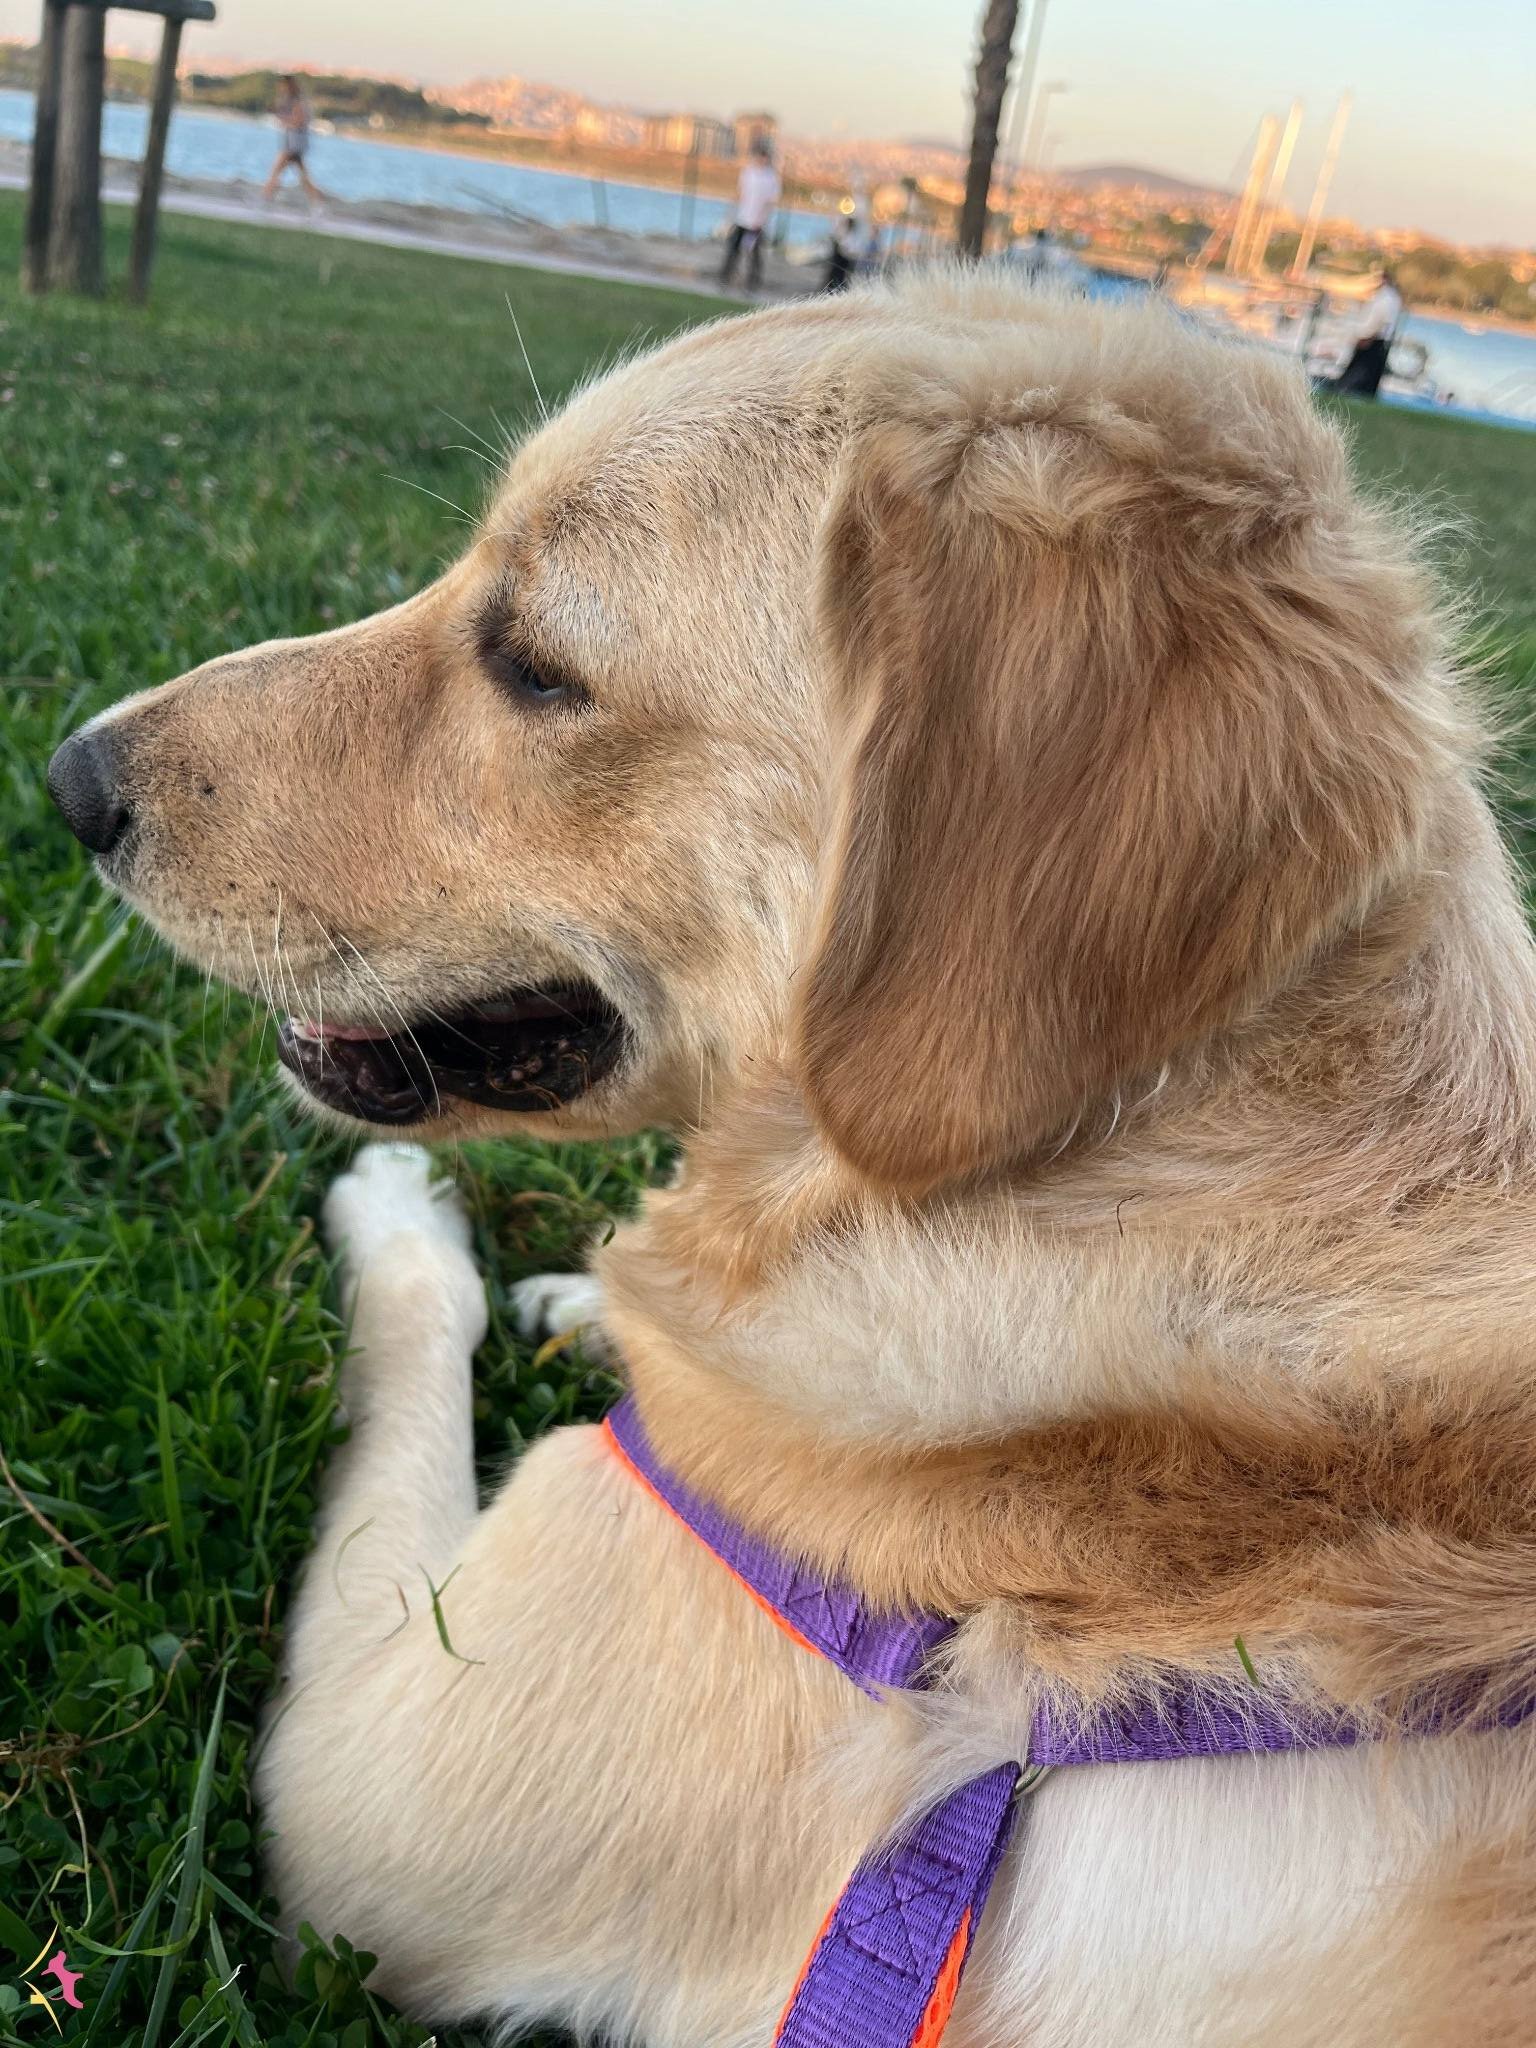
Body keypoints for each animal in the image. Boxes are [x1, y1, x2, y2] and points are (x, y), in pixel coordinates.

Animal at [48, 274, 1536, 2046]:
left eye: (533, 664)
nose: (67, 778)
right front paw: (573, 1295)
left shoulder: (364, 1773)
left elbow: (423, 1329)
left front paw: (417, 1233)